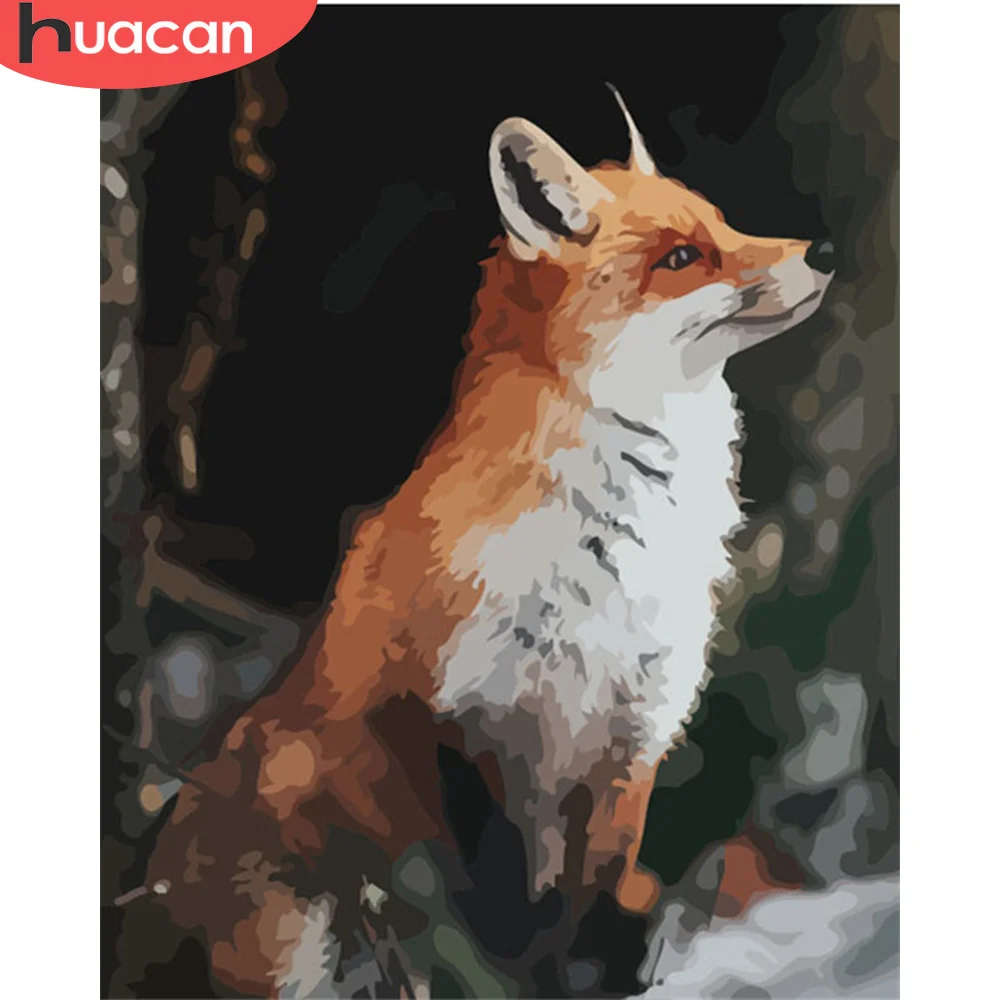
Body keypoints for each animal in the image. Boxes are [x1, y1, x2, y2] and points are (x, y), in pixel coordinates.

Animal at [140, 90, 835, 998]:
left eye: (725, 221)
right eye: (683, 257)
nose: (823, 248)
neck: (612, 555)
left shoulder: (629, 741)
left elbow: (588, 913)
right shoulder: (458, 715)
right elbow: (502, 932)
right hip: (293, 903)